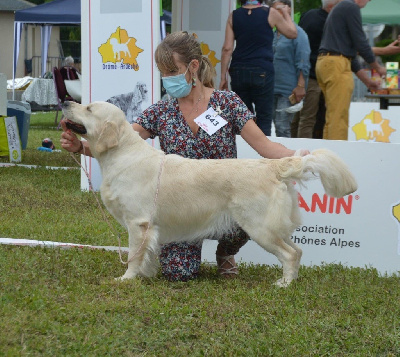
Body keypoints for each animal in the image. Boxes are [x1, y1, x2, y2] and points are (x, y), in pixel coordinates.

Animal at [63, 101, 360, 286]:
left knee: (290, 254)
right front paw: (146, 275)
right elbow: (146, 254)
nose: (65, 101)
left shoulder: (138, 223)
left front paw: (127, 279)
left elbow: (135, 255)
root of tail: (273, 165)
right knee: (297, 250)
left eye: (89, 108)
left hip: (259, 226)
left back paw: (284, 284)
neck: (122, 155)